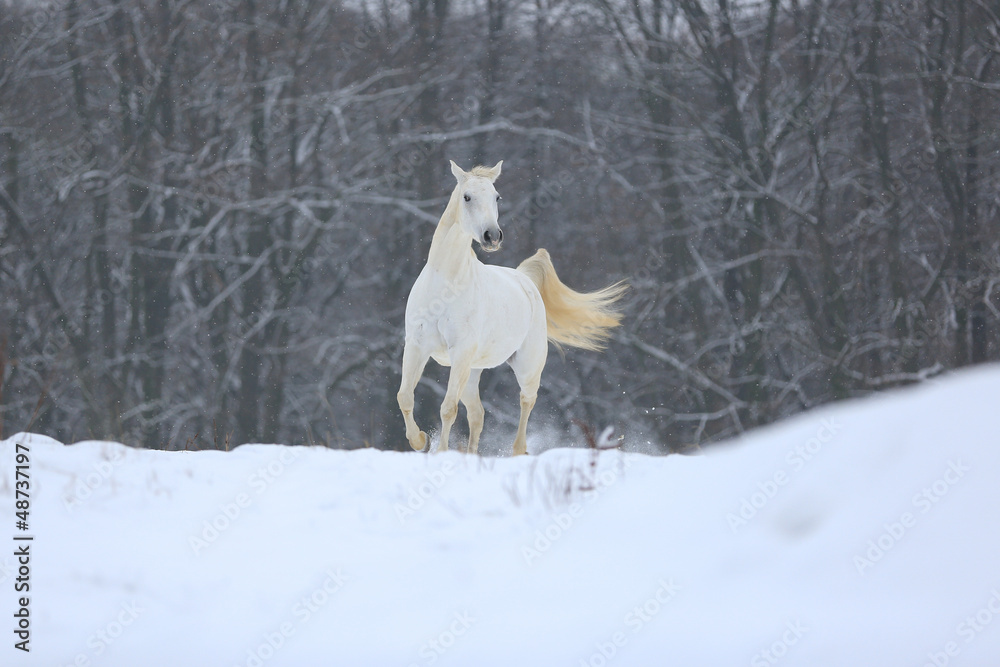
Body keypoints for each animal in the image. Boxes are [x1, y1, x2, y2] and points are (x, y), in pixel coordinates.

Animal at [396, 160, 626, 456]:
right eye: (466, 197)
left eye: (497, 197)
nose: (492, 236)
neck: (444, 286)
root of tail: (524, 278)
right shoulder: (417, 346)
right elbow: (405, 396)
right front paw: (421, 440)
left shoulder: (460, 353)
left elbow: (448, 408)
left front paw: (439, 451)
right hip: (473, 371)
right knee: (478, 414)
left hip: (526, 368)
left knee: (526, 402)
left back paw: (519, 450)